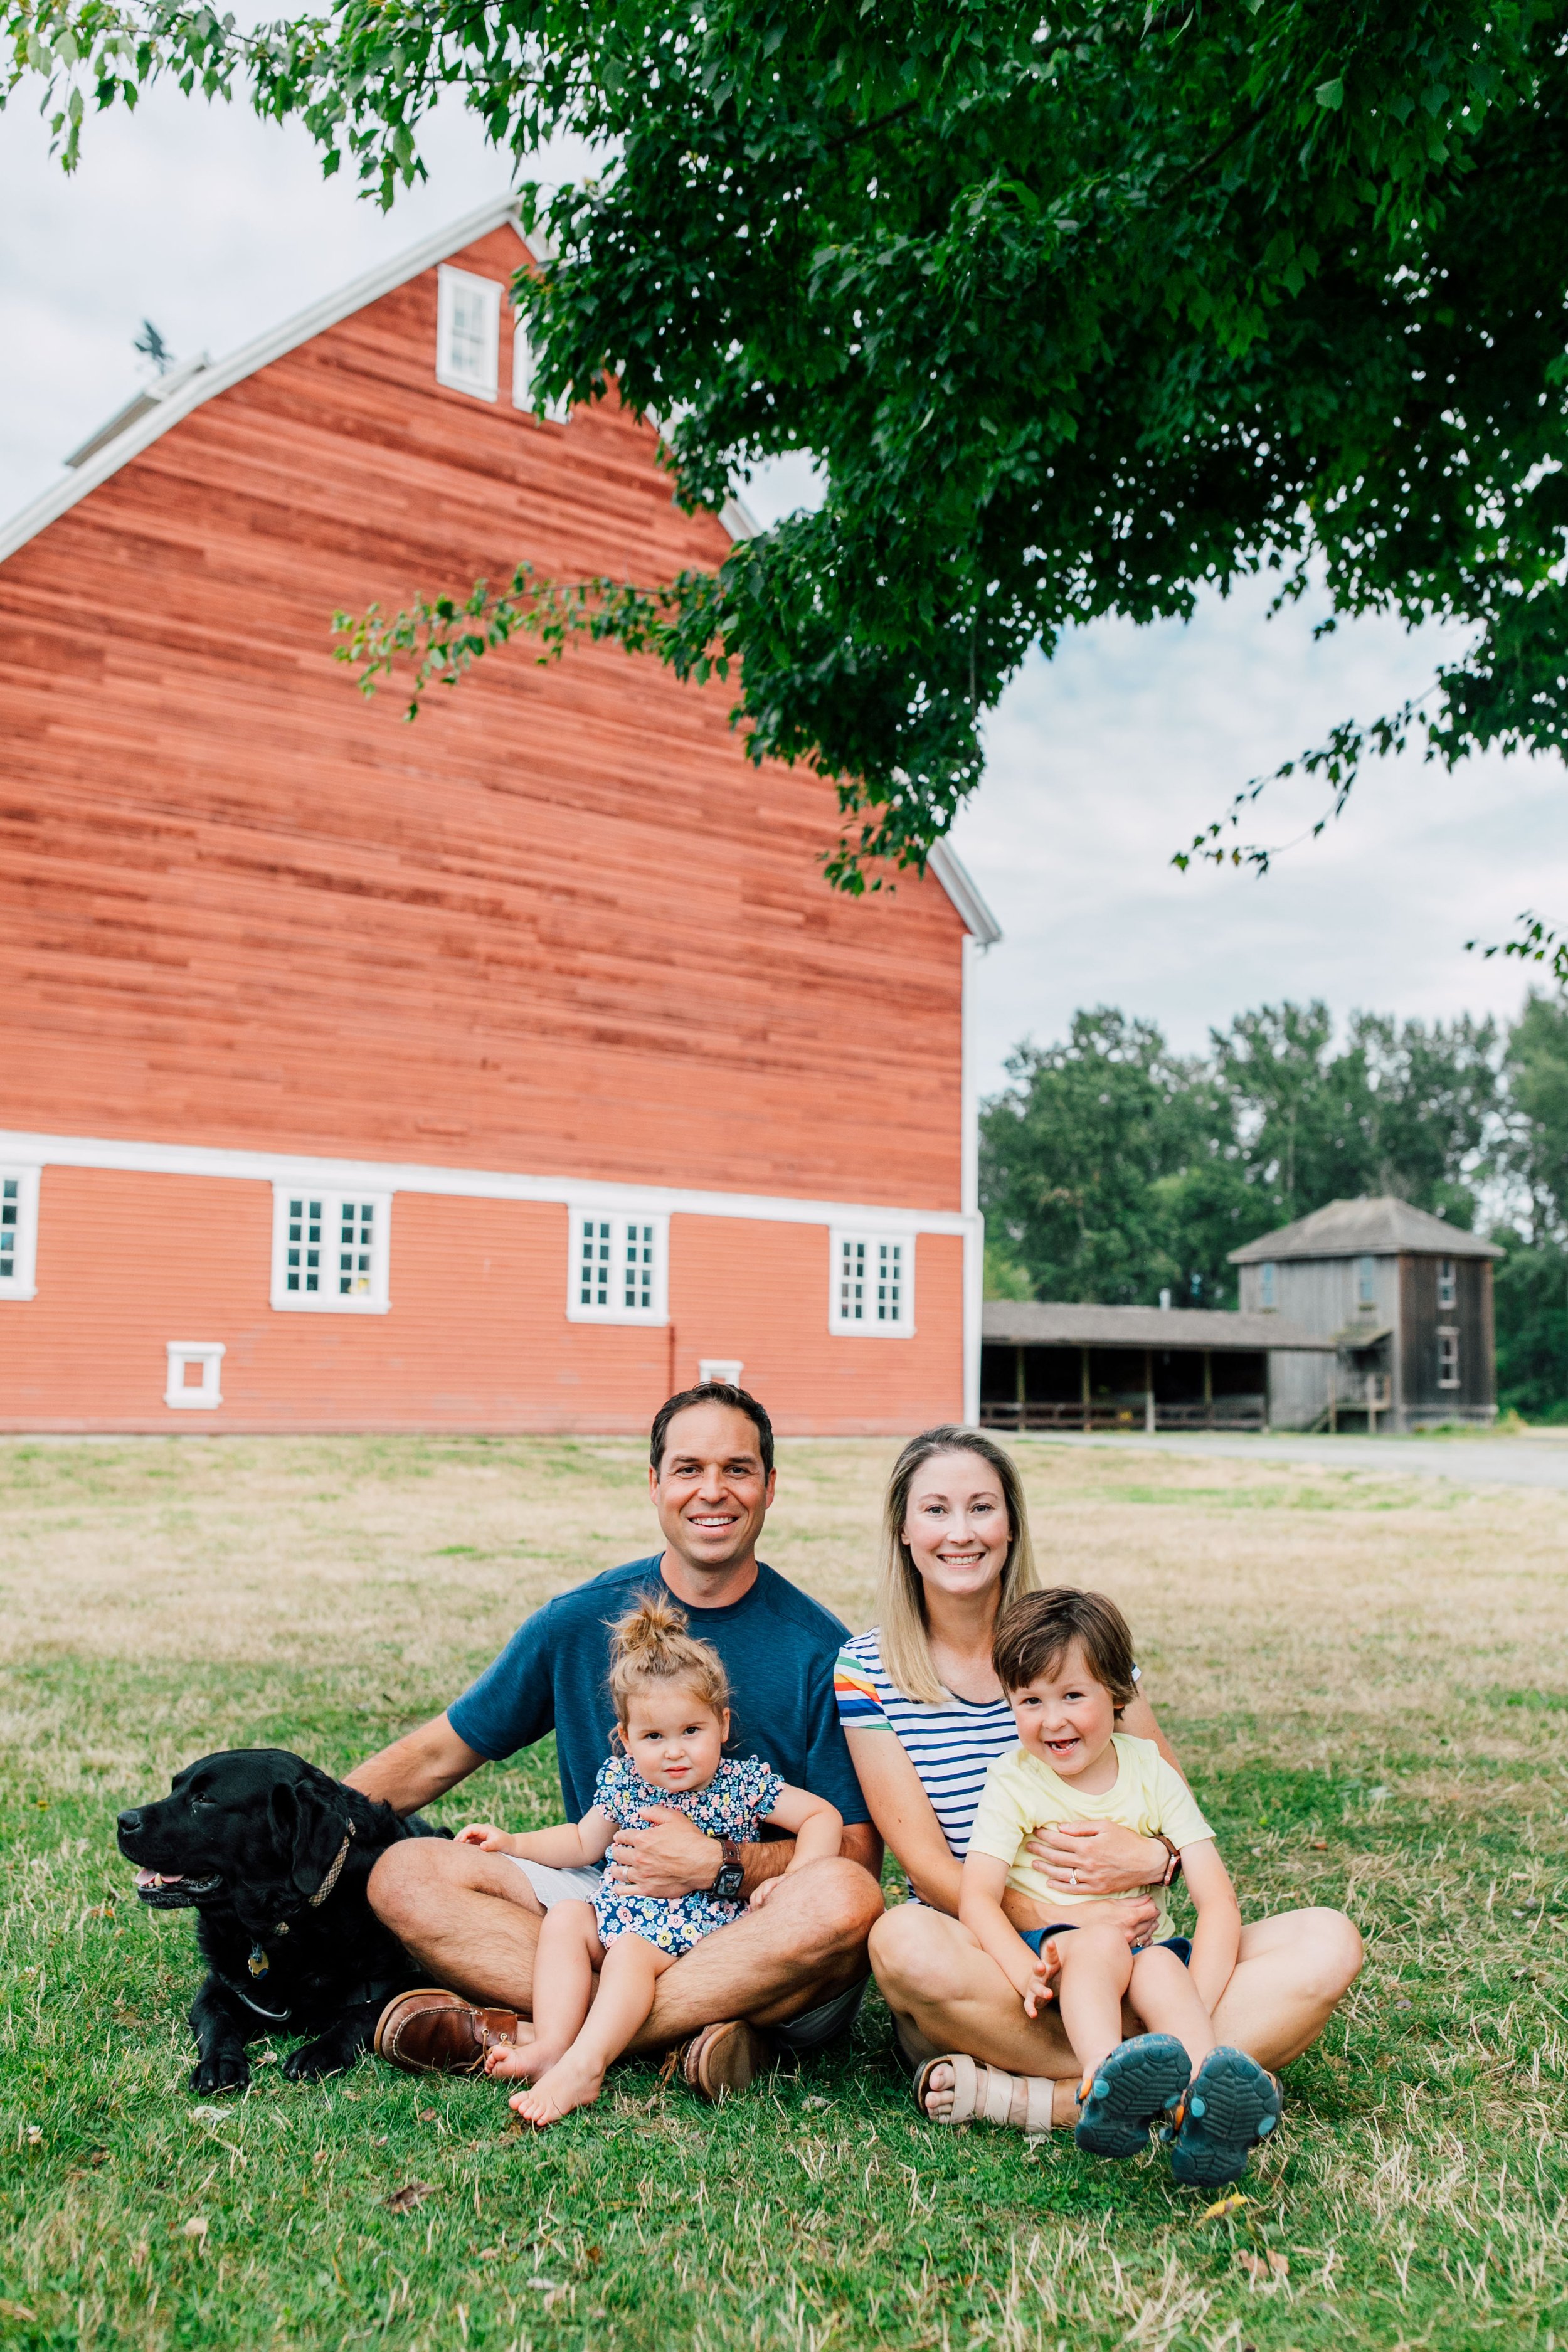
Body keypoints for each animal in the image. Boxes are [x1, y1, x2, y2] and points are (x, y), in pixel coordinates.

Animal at [115, 1750, 447, 2098]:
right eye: (174, 1788)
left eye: (204, 1799)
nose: (123, 1820)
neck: (288, 1920)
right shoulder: (217, 1987)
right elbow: (216, 2021)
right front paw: (219, 2062)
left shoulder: (420, 1981)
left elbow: (367, 2012)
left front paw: (320, 2051)